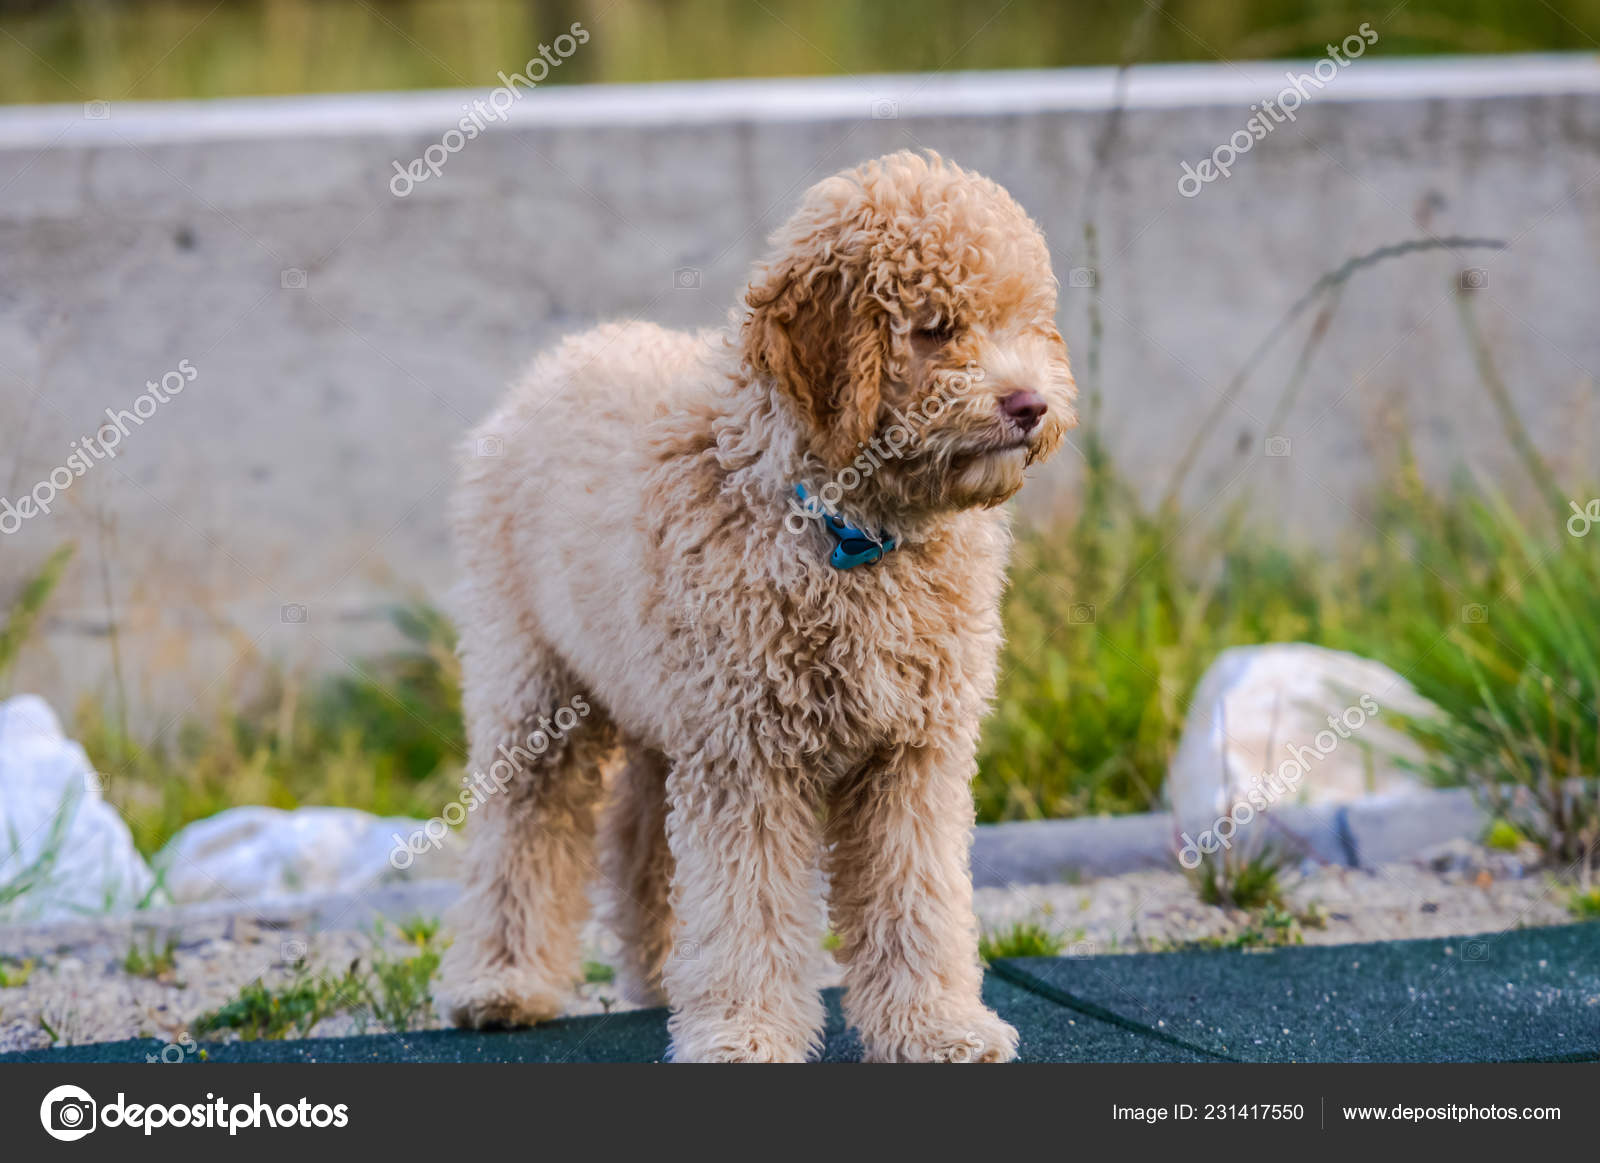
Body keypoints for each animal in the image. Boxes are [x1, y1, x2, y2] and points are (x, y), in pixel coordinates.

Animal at [441, 152, 1075, 1062]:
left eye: (1026, 323)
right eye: (934, 326)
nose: (1031, 405)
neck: (849, 532)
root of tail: (562, 357)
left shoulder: (912, 753)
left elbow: (918, 894)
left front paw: (936, 1025)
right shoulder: (746, 753)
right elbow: (749, 903)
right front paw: (745, 1031)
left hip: (658, 701)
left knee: (640, 837)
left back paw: (663, 975)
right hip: (533, 678)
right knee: (524, 822)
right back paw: (503, 980)